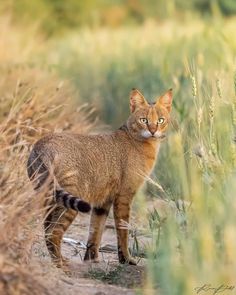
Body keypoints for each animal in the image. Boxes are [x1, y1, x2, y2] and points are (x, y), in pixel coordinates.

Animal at [26, 88, 172, 268]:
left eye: (160, 120)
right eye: (143, 120)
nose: (153, 130)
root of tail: (42, 144)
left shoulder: (104, 201)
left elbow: (96, 230)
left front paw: (92, 259)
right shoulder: (124, 196)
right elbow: (122, 230)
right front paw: (126, 259)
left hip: (49, 196)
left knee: (46, 227)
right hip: (71, 198)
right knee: (53, 231)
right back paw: (60, 264)